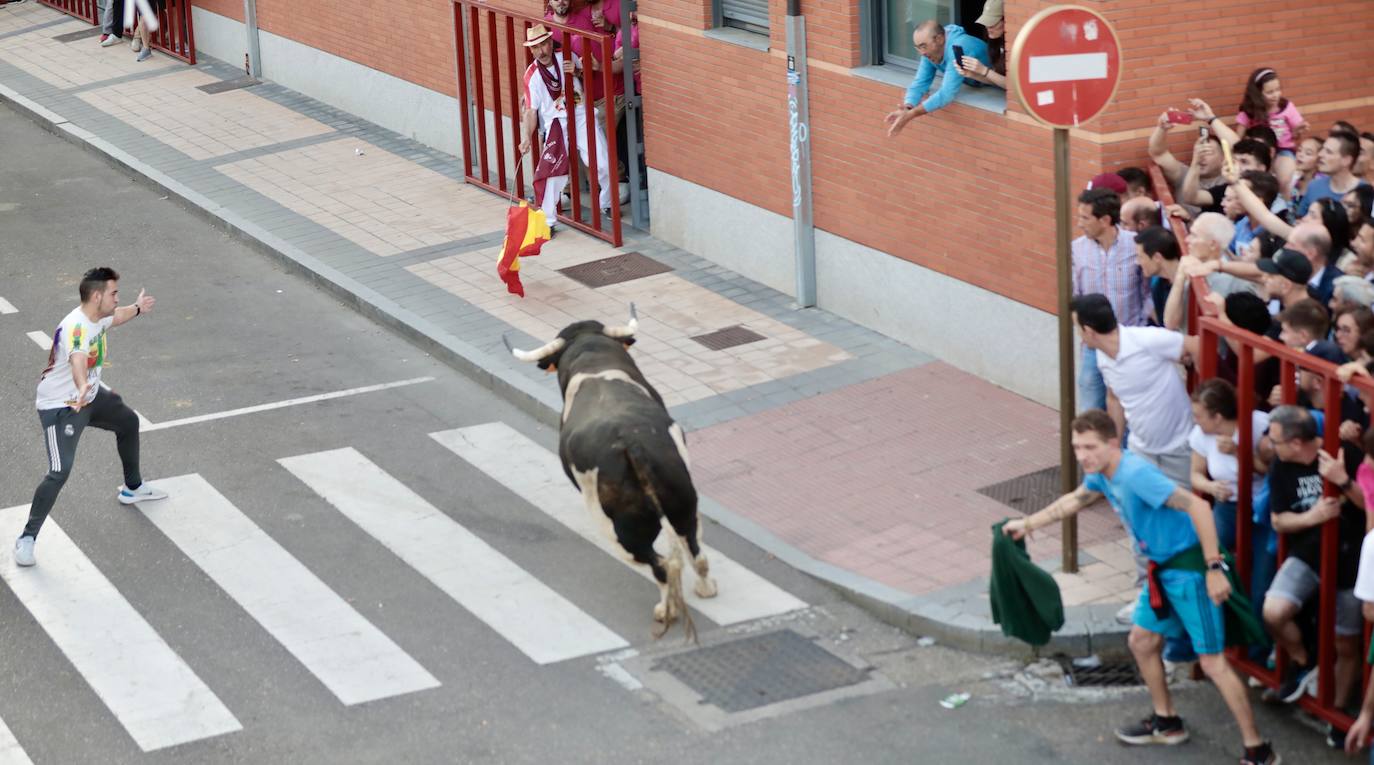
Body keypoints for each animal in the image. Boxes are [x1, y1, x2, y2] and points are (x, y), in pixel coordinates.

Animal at [508, 313, 719, 634]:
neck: (592, 356)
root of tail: (632, 444)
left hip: (623, 532)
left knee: (663, 565)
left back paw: (666, 610)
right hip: (683, 504)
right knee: (695, 551)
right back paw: (706, 589)